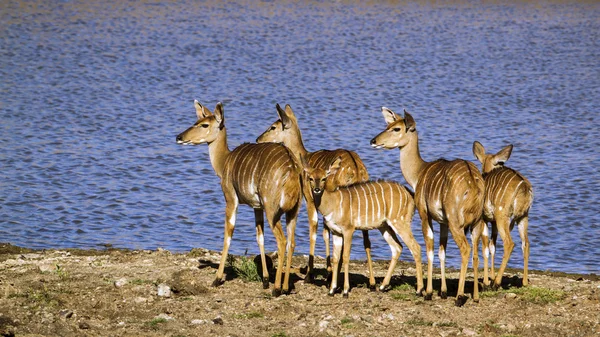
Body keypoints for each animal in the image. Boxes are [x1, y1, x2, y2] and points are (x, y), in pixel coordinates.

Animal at [176, 100, 302, 294]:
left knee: (282, 241)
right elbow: (259, 237)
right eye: (196, 121)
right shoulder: (257, 206)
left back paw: (277, 289)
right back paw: (286, 287)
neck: (224, 162)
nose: (179, 137)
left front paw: (217, 279)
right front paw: (265, 280)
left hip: (273, 209)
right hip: (293, 211)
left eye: (204, 125)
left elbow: (228, 234)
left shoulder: (231, 199)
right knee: (292, 241)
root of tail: (292, 169)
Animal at [255, 104, 372, 286]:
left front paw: (310, 275)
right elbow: (326, 233)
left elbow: (314, 230)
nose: (258, 139)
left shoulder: (310, 199)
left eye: (273, 126)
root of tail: (356, 171)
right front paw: (328, 272)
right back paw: (373, 282)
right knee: (366, 236)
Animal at [302, 156, 424, 296]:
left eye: (324, 178)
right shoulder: (336, 232)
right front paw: (332, 290)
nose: (316, 189)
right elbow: (336, 258)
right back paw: (382, 287)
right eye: (311, 178)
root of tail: (410, 195)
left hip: (400, 223)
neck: (333, 202)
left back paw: (419, 290)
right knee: (397, 247)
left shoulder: (348, 230)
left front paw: (345, 291)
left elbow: (345, 257)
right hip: (384, 226)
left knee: (416, 248)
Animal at [370, 107, 488, 304]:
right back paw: (476, 297)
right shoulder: (443, 222)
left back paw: (459, 297)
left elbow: (429, 249)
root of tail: (473, 182)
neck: (419, 173)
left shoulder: (425, 214)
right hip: (476, 222)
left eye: (396, 128)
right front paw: (443, 291)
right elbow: (442, 251)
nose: (373, 141)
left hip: (457, 223)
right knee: (476, 251)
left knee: (465, 249)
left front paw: (427, 292)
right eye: (387, 125)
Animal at [474, 140, 536, 288]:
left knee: (509, 243)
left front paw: (486, 281)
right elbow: (492, 246)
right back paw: (524, 282)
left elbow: (485, 246)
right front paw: (490, 277)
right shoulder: (493, 222)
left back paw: (496, 283)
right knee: (526, 243)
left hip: (503, 216)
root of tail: (524, 187)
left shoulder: (484, 218)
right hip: (523, 217)